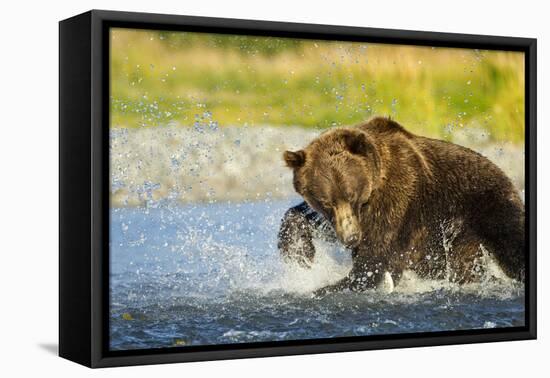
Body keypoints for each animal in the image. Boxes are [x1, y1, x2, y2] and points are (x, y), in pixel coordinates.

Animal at [280, 116, 528, 296]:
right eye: (325, 202)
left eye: (351, 195)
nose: (351, 238)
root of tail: (505, 174)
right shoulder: (345, 219)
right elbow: (306, 218)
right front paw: (300, 254)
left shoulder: (396, 202)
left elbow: (374, 261)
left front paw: (325, 287)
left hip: (489, 205)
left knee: (512, 245)